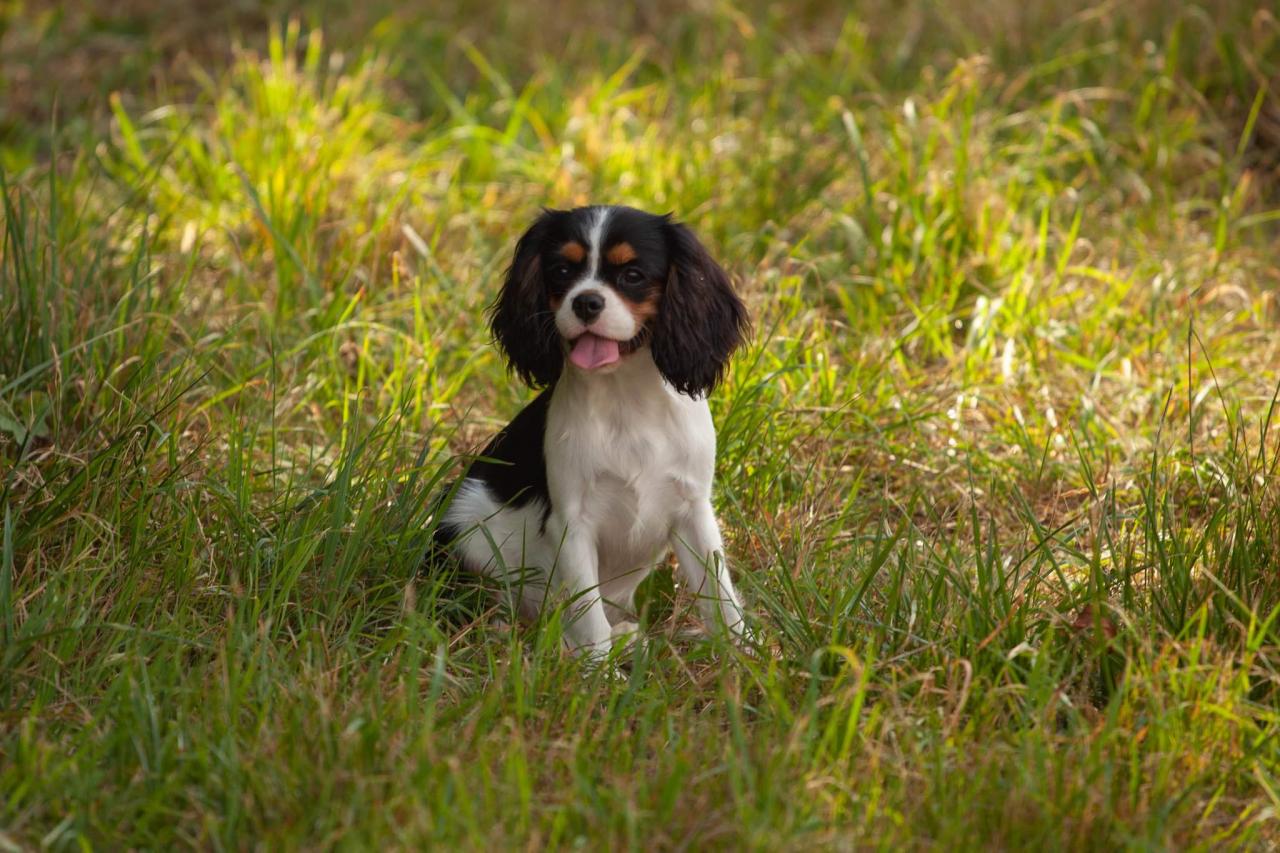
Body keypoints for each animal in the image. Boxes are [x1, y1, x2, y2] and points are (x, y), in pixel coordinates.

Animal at [435, 202, 747, 653]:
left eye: (632, 275)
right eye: (562, 271)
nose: (585, 302)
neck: (624, 395)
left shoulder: (694, 510)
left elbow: (719, 592)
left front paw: (746, 654)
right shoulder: (573, 524)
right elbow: (588, 611)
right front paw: (599, 667)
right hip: (465, 527)